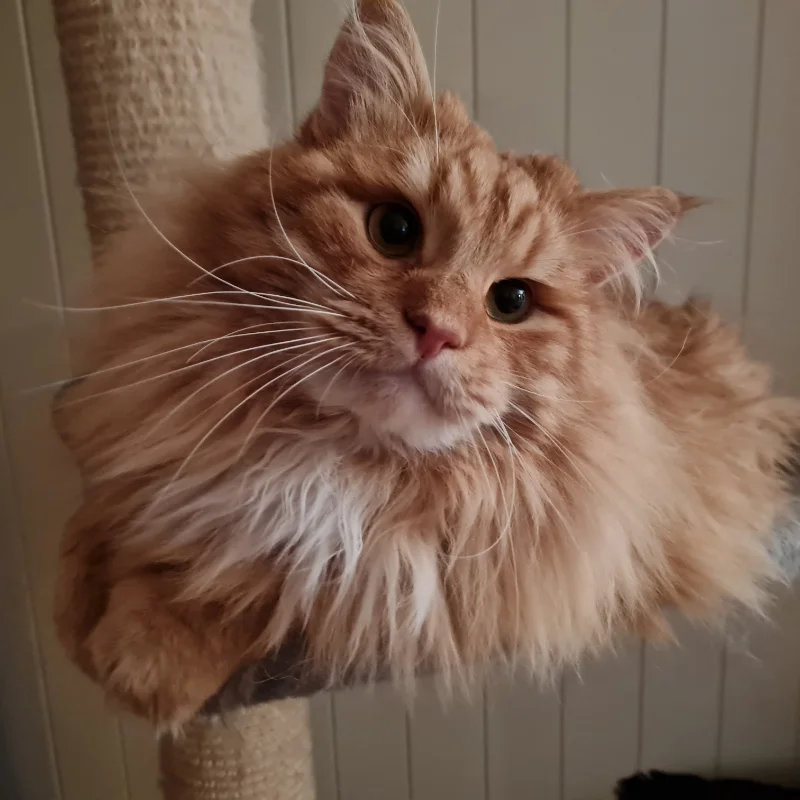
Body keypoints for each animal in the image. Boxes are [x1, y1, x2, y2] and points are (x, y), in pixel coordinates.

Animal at [53, 0, 799, 726]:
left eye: (512, 301)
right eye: (394, 229)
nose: (437, 331)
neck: (329, 461)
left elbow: (260, 577)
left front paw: (146, 654)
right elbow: (124, 523)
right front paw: (85, 598)